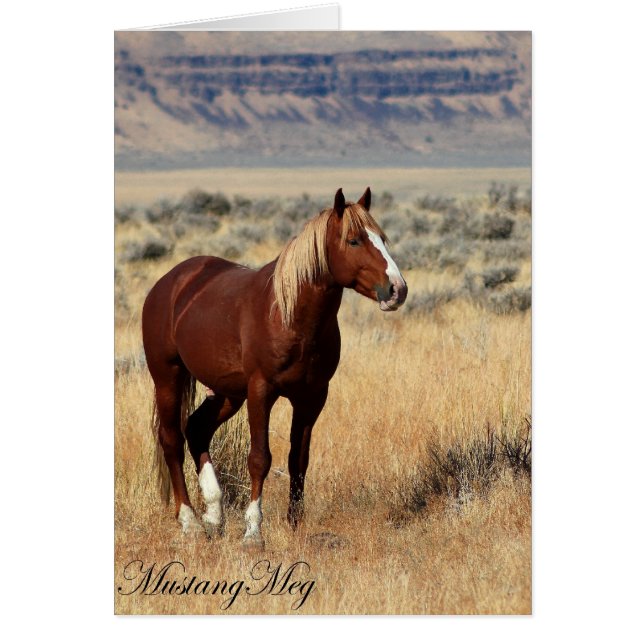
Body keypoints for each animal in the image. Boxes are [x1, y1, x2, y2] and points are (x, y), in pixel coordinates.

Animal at [142, 187, 408, 548]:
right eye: (353, 240)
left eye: (382, 238)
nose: (397, 289)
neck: (289, 315)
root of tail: (169, 283)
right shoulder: (261, 391)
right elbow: (259, 458)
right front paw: (254, 531)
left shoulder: (312, 397)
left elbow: (299, 459)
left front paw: (295, 524)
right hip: (168, 377)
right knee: (171, 440)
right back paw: (190, 522)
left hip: (227, 392)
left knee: (196, 429)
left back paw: (214, 514)